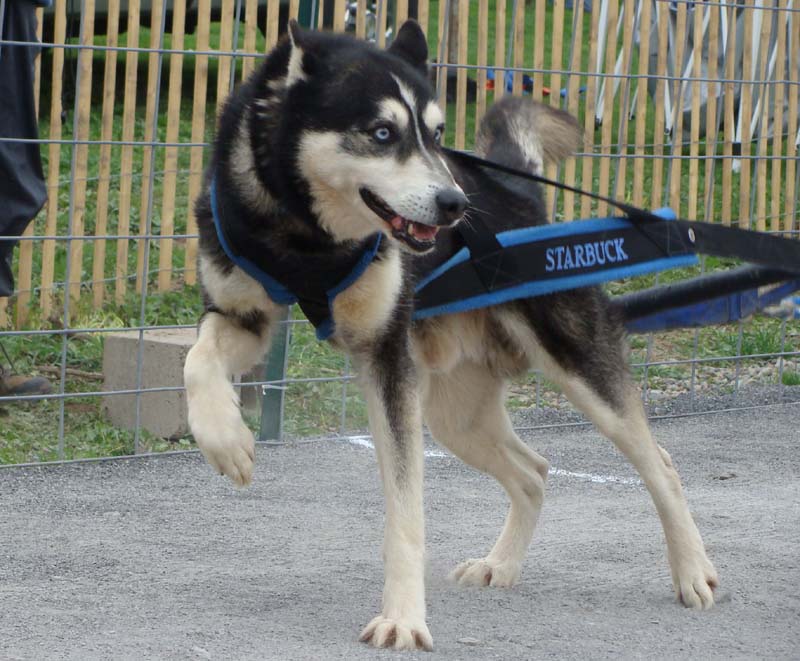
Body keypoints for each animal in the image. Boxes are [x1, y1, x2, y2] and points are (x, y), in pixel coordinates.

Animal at [186, 19, 720, 648]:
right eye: (383, 133)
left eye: (438, 134)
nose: (454, 205)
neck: (307, 239)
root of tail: (517, 193)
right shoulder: (240, 318)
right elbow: (196, 362)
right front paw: (227, 442)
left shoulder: (386, 357)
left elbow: (406, 511)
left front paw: (402, 617)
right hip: (454, 416)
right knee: (534, 473)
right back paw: (501, 564)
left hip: (577, 371)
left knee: (660, 464)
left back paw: (692, 571)